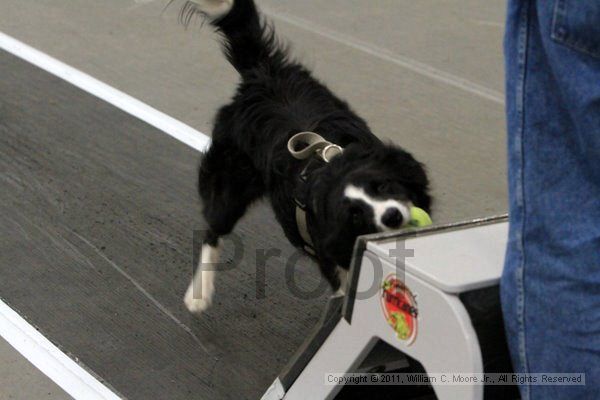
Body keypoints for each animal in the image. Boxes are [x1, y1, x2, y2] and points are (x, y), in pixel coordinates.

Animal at [180, 0, 428, 312]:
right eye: (355, 215)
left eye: (382, 185)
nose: (392, 216)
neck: (333, 166)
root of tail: (261, 72)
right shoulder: (331, 256)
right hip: (230, 182)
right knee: (213, 229)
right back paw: (198, 293)